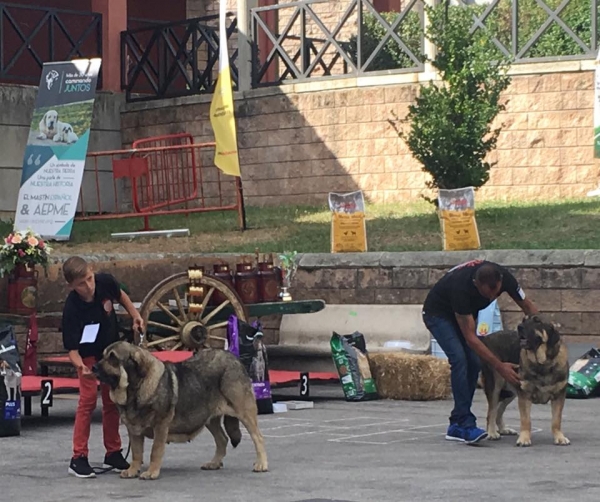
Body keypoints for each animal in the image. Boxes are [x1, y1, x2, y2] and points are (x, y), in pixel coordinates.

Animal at [93, 344, 268, 480]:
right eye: (103, 355)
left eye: (112, 357)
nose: (93, 367)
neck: (135, 388)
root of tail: (235, 359)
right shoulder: (134, 429)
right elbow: (136, 453)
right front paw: (132, 470)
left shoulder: (161, 426)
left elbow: (155, 451)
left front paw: (151, 472)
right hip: (207, 416)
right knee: (222, 439)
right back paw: (214, 463)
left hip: (244, 411)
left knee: (258, 437)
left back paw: (261, 464)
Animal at [478, 314, 572, 448]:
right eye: (523, 320)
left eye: (537, 321)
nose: (519, 327)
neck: (543, 363)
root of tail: (487, 337)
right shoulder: (524, 395)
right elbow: (526, 420)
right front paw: (524, 439)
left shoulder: (559, 396)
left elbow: (556, 420)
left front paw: (559, 437)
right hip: (495, 385)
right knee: (492, 411)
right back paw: (492, 433)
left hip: (510, 392)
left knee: (498, 410)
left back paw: (503, 429)